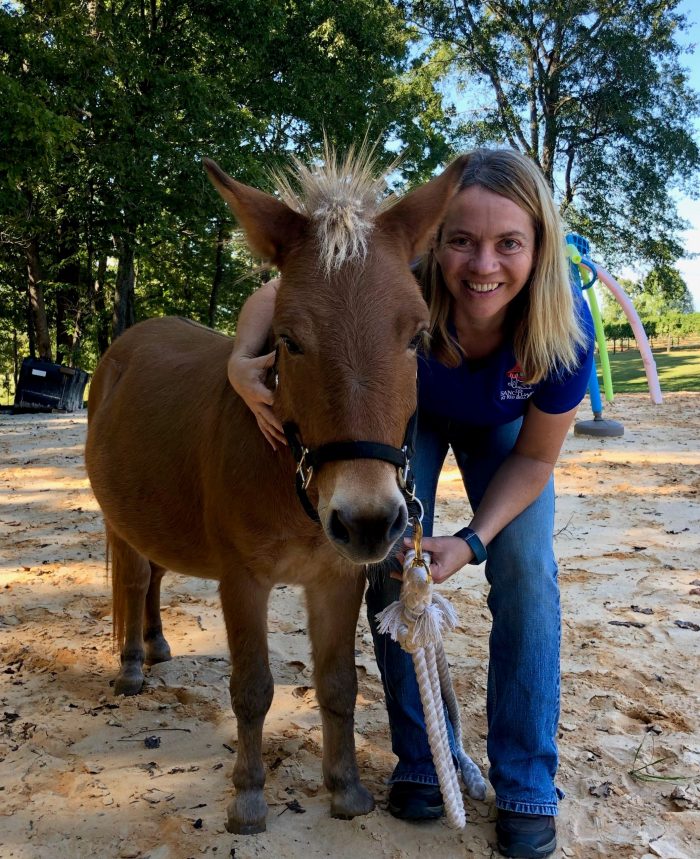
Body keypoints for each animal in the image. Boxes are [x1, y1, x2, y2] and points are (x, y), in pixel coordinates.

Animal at [84, 147, 469, 834]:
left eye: (415, 338)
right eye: (289, 340)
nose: (368, 522)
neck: (293, 482)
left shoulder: (337, 580)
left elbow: (339, 683)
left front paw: (346, 789)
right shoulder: (243, 582)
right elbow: (253, 689)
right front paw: (248, 796)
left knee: (153, 576)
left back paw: (155, 646)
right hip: (120, 521)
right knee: (131, 578)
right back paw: (130, 664)